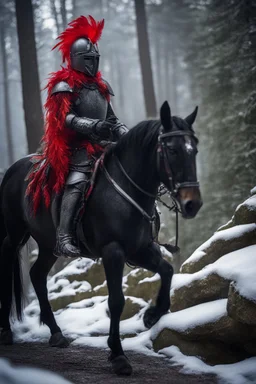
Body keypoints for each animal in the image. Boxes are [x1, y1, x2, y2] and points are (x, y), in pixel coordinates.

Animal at [0, 102, 202, 376]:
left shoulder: (140, 250)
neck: (128, 189)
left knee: (37, 275)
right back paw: (6, 332)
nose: (193, 204)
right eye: (171, 149)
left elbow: (168, 270)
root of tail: (12, 170)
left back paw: (56, 333)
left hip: (48, 246)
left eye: (194, 150)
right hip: (14, 234)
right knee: (7, 267)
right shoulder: (112, 251)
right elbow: (116, 301)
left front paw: (152, 315)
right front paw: (118, 355)